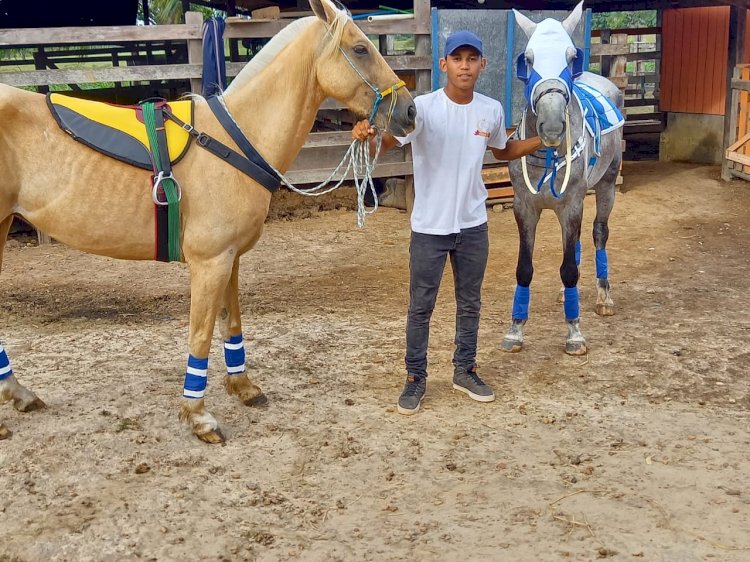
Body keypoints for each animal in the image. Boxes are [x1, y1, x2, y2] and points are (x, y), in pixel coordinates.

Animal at [0, 0, 418, 442]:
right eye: (360, 49)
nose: (410, 110)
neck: (235, 141)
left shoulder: (230, 260)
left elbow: (230, 323)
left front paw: (243, 386)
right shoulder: (210, 262)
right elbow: (200, 336)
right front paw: (198, 415)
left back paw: (19, 394)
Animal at [502, 2, 624, 354]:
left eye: (571, 58)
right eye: (528, 59)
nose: (553, 126)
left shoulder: (571, 205)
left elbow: (568, 269)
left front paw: (574, 333)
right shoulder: (525, 208)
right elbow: (524, 269)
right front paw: (515, 330)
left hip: (607, 185)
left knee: (598, 233)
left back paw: (604, 296)